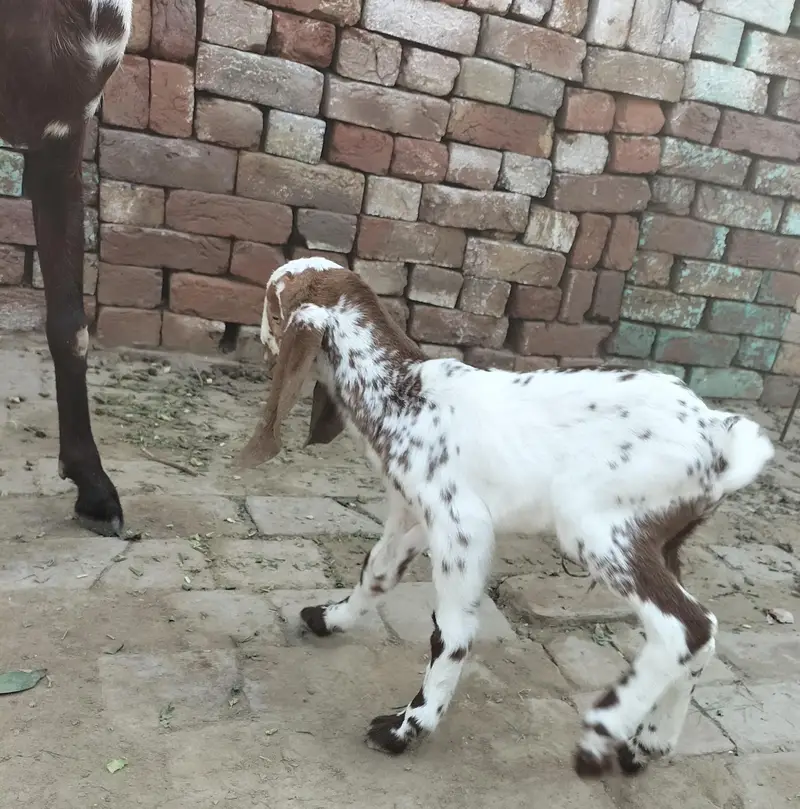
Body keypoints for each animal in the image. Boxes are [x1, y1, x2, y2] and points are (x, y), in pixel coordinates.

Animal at [236, 257, 775, 777]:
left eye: (272, 303)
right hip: (661, 539)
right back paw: (650, 742)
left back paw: (604, 732)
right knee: (703, 629)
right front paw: (331, 618)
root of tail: (718, 435)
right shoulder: (414, 513)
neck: (403, 393)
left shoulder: (461, 524)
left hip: (596, 528)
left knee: (685, 627)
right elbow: (376, 572)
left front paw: (406, 728)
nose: (256, 339)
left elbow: (451, 630)